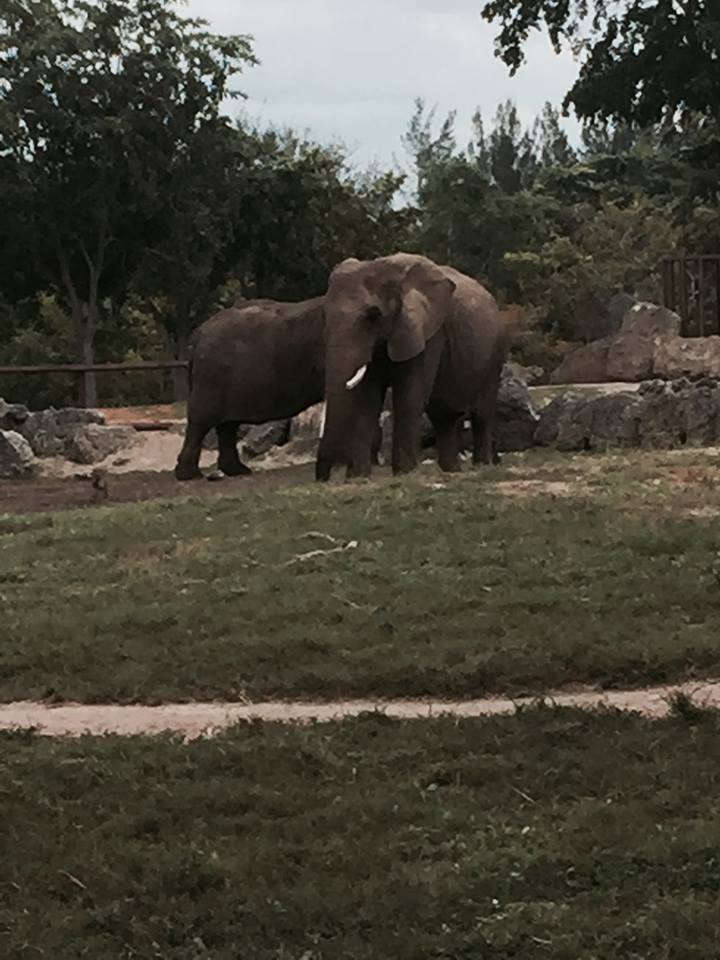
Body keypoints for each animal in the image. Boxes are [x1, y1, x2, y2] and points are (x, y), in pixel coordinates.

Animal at [174, 296, 382, 480]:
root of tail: (198, 335)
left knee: (227, 425)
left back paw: (238, 471)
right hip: (211, 374)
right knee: (202, 420)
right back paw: (190, 476)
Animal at [316, 253, 508, 481]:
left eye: (373, 316)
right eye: (324, 317)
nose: (325, 478)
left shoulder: (429, 333)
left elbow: (410, 393)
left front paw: (404, 472)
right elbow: (368, 396)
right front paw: (358, 477)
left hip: (494, 353)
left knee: (481, 414)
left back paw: (482, 466)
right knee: (444, 416)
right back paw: (451, 470)